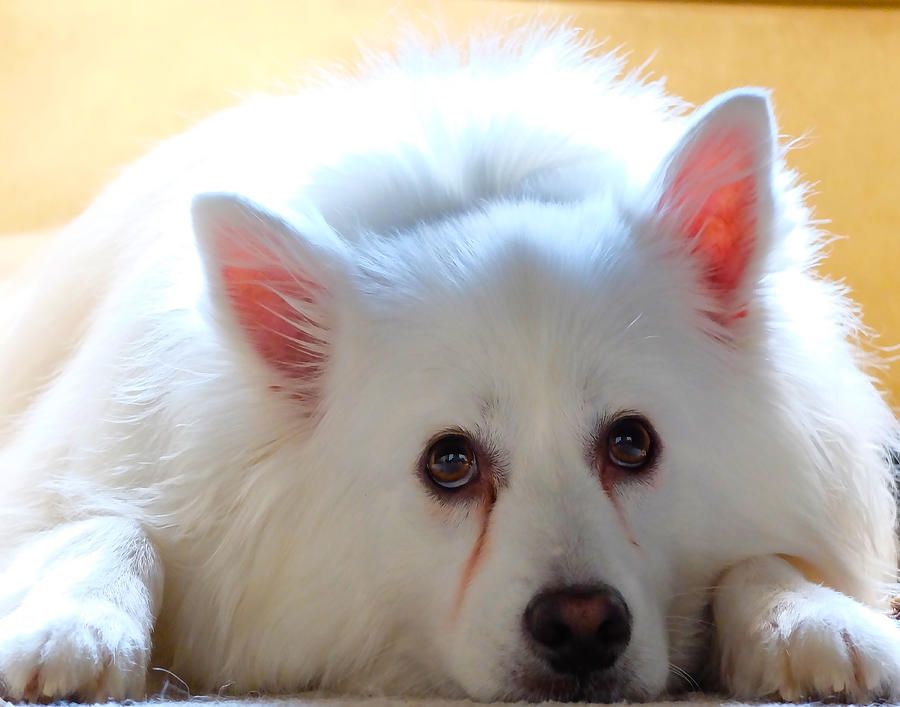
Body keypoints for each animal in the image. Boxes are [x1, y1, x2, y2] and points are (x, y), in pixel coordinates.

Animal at [1, 20, 900, 704]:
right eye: (449, 462)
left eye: (633, 443)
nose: (582, 625)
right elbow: (109, 525)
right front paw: (75, 625)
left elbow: (764, 558)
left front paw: (814, 617)